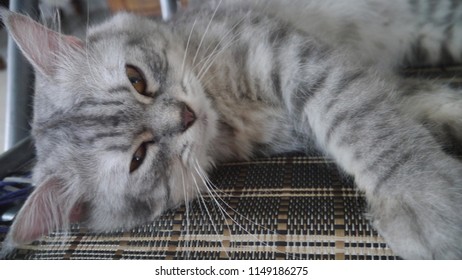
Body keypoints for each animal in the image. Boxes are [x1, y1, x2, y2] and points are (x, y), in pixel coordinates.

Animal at [0, 0, 462, 260]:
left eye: (136, 79)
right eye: (139, 157)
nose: (186, 116)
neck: (226, 111)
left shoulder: (293, 56)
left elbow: (362, 121)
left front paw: (422, 199)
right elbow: (410, 106)